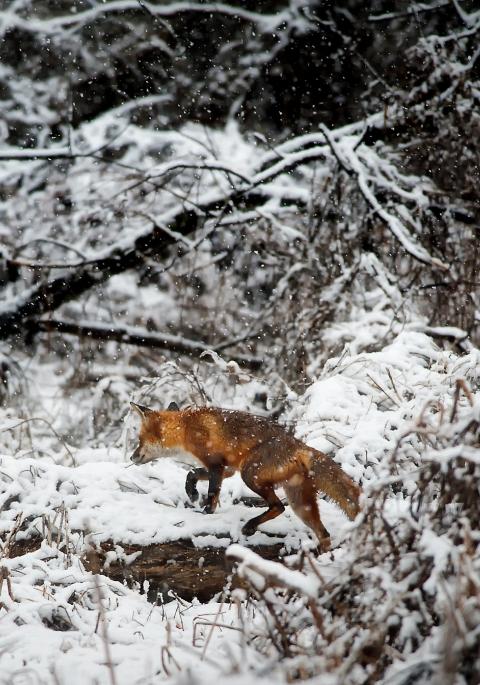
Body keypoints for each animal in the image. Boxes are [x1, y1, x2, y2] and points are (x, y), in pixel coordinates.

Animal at [129, 402, 361, 550]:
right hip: (299, 503)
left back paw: (250, 526)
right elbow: (192, 473)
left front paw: (205, 513)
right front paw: (192, 492)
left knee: (278, 506)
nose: (132, 457)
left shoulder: (216, 464)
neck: (186, 427)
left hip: (250, 475)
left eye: (139, 440)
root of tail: (300, 446)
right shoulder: (227, 468)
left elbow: (212, 493)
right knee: (324, 534)